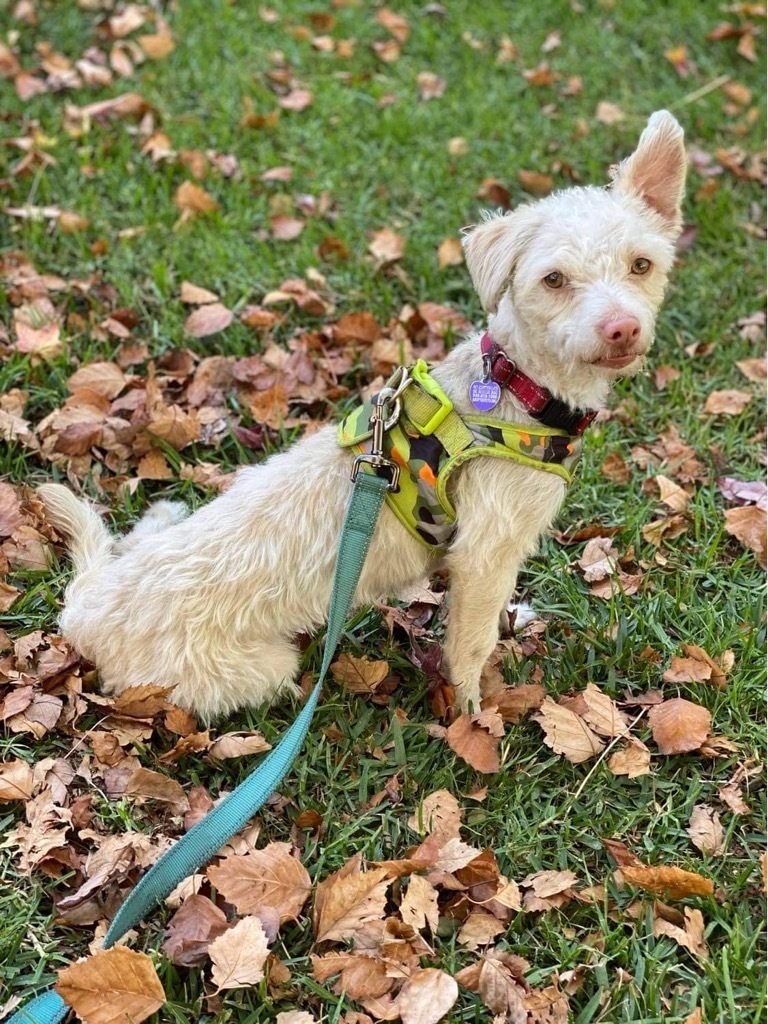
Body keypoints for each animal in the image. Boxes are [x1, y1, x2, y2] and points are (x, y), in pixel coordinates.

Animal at [36, 110, 688, 720]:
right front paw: (474, 717)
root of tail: (87, 614)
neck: (516, 387)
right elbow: (470, 647)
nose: (622, 328)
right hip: (256, 668)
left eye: (641, 265)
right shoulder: (485, 556)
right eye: (554, 279)